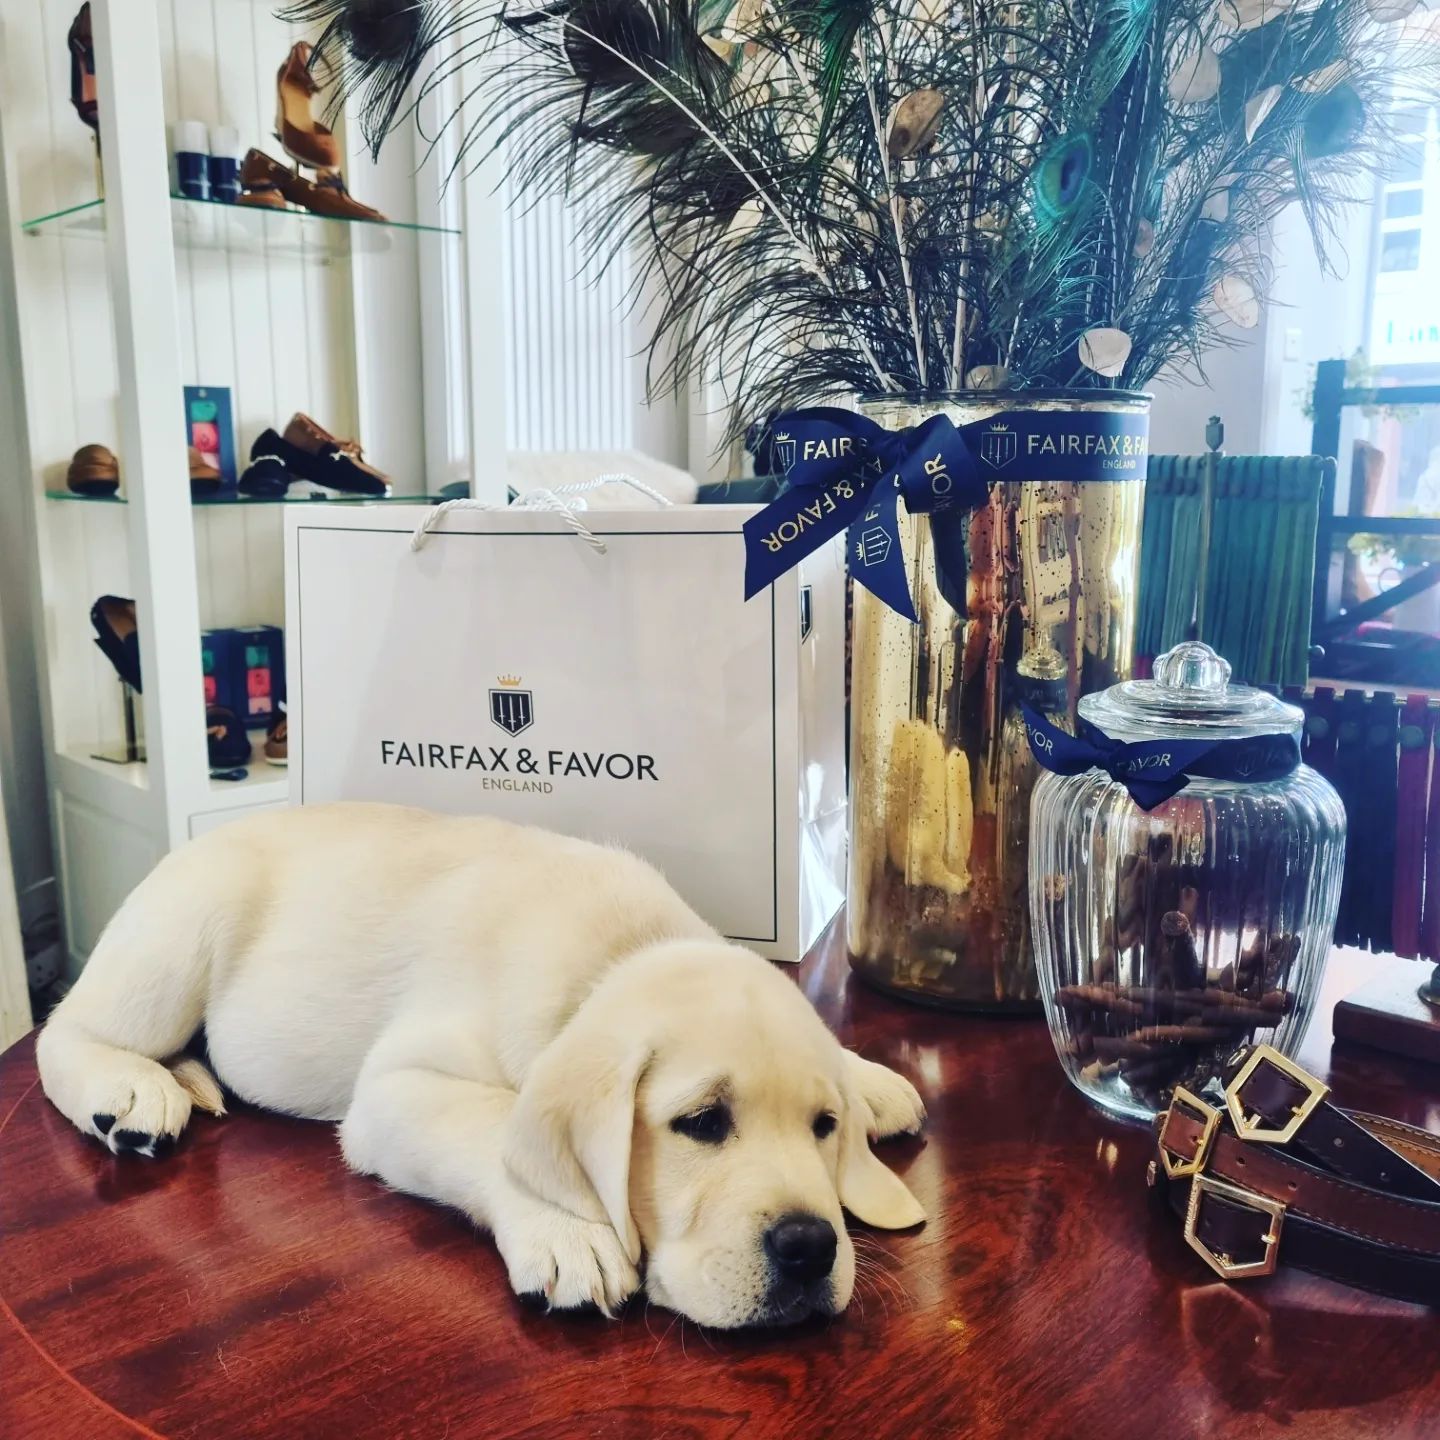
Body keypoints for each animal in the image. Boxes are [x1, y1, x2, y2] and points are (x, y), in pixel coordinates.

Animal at [37, 803, 926, 1328]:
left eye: (824, 1126)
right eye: (702, 1123)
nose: (811, 1248)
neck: (615, 955)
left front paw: (870, 1079)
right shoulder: (395, 1090)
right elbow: (493, 1123)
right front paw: (568, 1231)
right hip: (180, 935)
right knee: (64, 1031)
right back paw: (130, 1093)